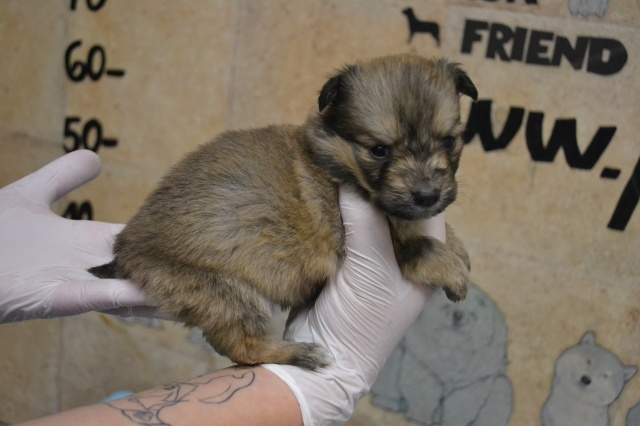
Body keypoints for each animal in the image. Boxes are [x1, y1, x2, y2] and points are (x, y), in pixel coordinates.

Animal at [90, 54, 477, 370]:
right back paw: (300, 353)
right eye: (379, 150)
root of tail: (126, 250)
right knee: (245, 349)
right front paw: (453, 270)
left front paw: (458, 247)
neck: (338, 161)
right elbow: (420, 246)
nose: (427, 195)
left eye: (449, 141)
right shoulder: (364, 241)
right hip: (226, 293)